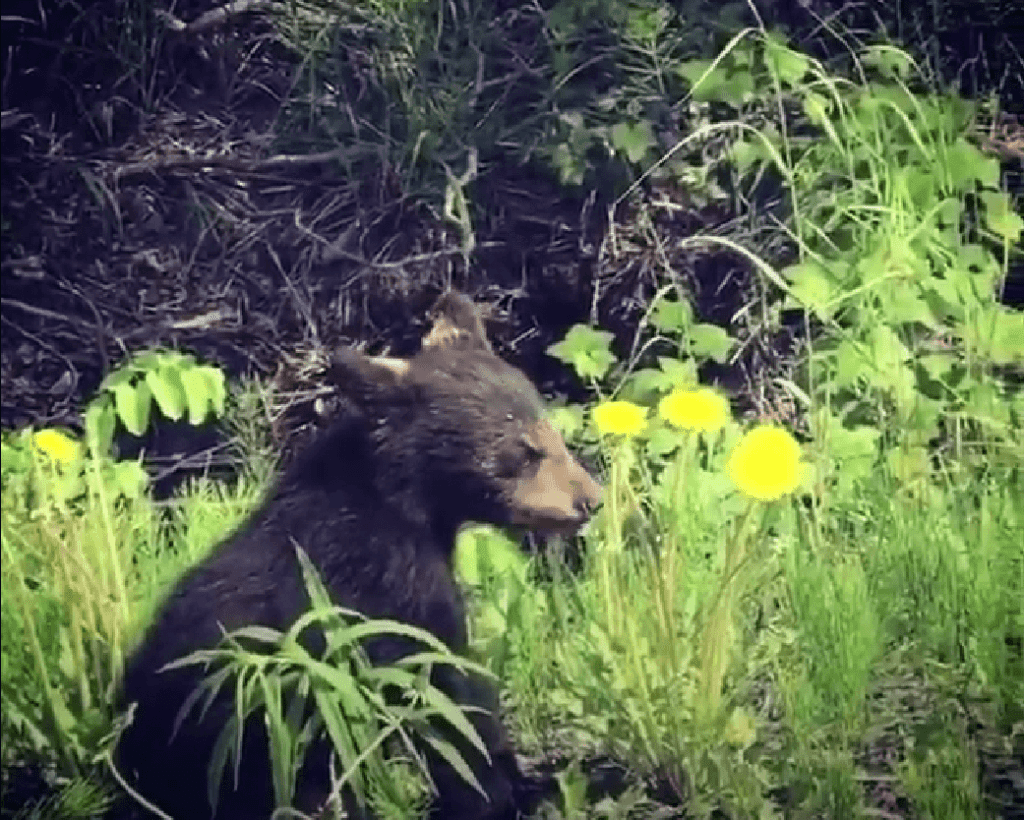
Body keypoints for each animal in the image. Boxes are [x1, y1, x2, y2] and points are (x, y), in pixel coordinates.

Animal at [114, 292, 598, 818]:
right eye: (522, 450)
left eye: (548, 428)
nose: (590, 499)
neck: (406, 506)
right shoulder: (390, 589)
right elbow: (448, 694)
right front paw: (501, 790)